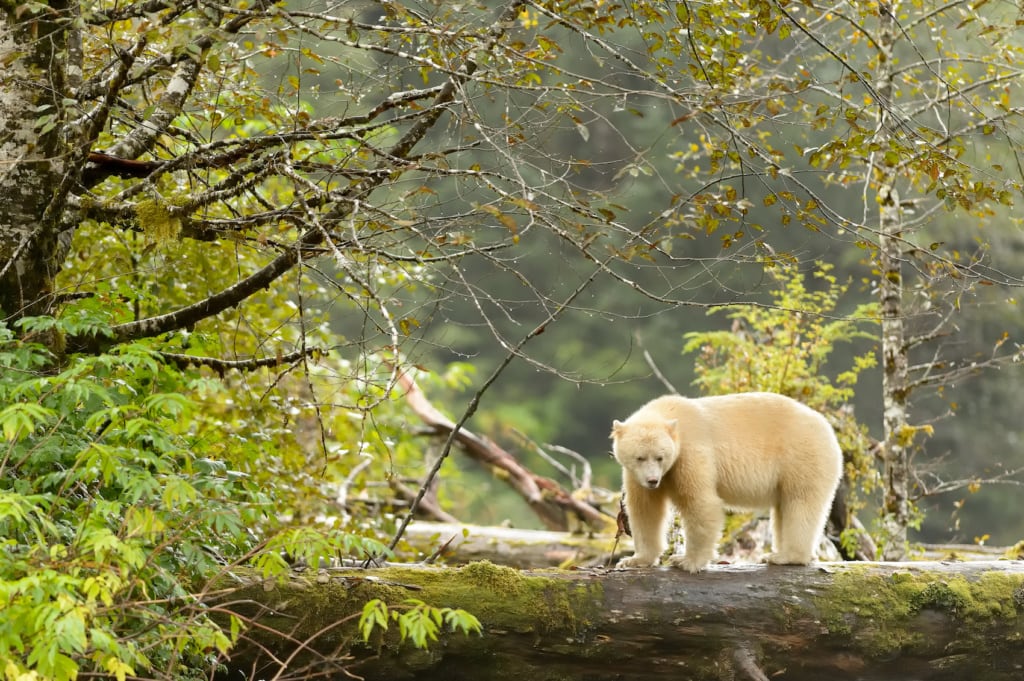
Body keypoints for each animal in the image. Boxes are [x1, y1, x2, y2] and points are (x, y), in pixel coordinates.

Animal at [611, 392, 842, 573]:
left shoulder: (691, 452)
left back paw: (786, 556)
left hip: (802, 455)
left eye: (660, 457)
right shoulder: (636, 475)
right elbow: (645, 510)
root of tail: (828, 429)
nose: (652, 480)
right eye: (640, 457)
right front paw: (633, 560)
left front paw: (686, 561)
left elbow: (700, 503)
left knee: (800, 502)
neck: (670, 413)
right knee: (784, 507)